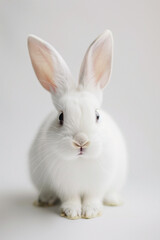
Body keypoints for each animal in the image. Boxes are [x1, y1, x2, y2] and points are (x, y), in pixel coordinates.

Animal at [27, 30, 127, 219]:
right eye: (61, 117)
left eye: (97, 115)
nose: (81, 141)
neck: (80, 161)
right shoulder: (65, 186)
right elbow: (71, 198)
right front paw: (71, 212)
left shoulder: (98, 185)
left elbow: (92, 198)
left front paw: (91, 211)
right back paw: (44, 200)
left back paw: (114, 201)